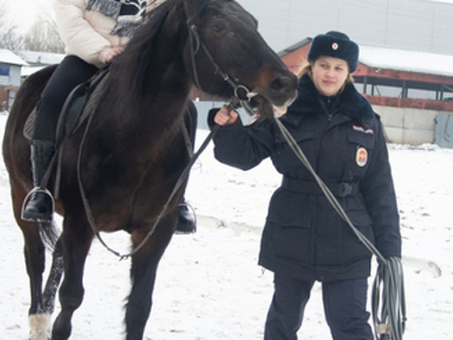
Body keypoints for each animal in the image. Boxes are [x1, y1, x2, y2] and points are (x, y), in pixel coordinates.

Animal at [2, 0, 296, 340]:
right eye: (218, 26)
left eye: (254, 23)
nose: (286, 85)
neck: (131, 138)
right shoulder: (80, 223)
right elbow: (71, 300)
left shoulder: (155, 231)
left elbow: (138, 309)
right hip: (21, 196)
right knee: (34, 258)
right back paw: (39, 319)